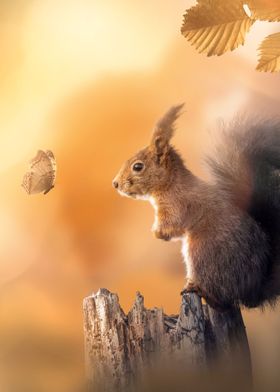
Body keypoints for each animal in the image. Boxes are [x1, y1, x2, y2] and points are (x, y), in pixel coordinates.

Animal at [112, 105, 280, 310]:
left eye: (138, 166)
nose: (115, 184)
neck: (171, 185)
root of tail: (252, 292)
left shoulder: (177, 207)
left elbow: (173, 225)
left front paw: (157, 233)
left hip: (202, 251)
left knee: (220, 299)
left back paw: (198, 289)